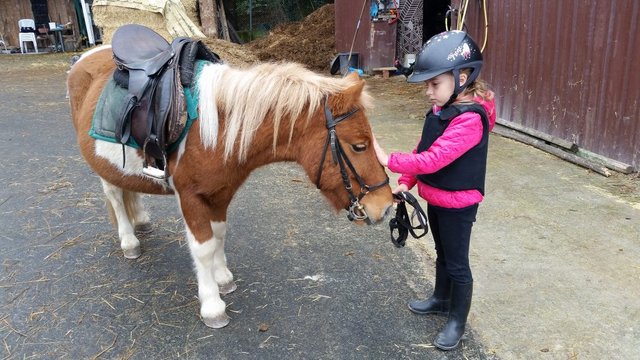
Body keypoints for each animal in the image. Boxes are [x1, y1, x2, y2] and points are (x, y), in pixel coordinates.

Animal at [67, 47, 392, 330]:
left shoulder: (221, 192)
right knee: (115, 197)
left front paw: (222, 278)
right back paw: (129, 240)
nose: (386, 206)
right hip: (102, 167)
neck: (215, 130)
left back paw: (141, 221)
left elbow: (219, 235)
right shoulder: (190, 198)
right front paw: (212, 305)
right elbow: (203, 248)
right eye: (359, 146)